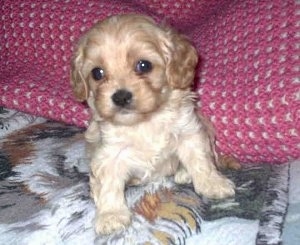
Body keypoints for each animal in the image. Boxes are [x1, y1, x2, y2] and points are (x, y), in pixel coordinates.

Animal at [70, 13, 234, 235]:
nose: (120, 97)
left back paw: (184, 173)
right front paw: (111, 215)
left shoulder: (189, 132)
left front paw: (213, 184)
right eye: (97, 73)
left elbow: (201, 161)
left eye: (143, 65)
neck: (144, 121)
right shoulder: (109, 153)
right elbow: (108, 185)